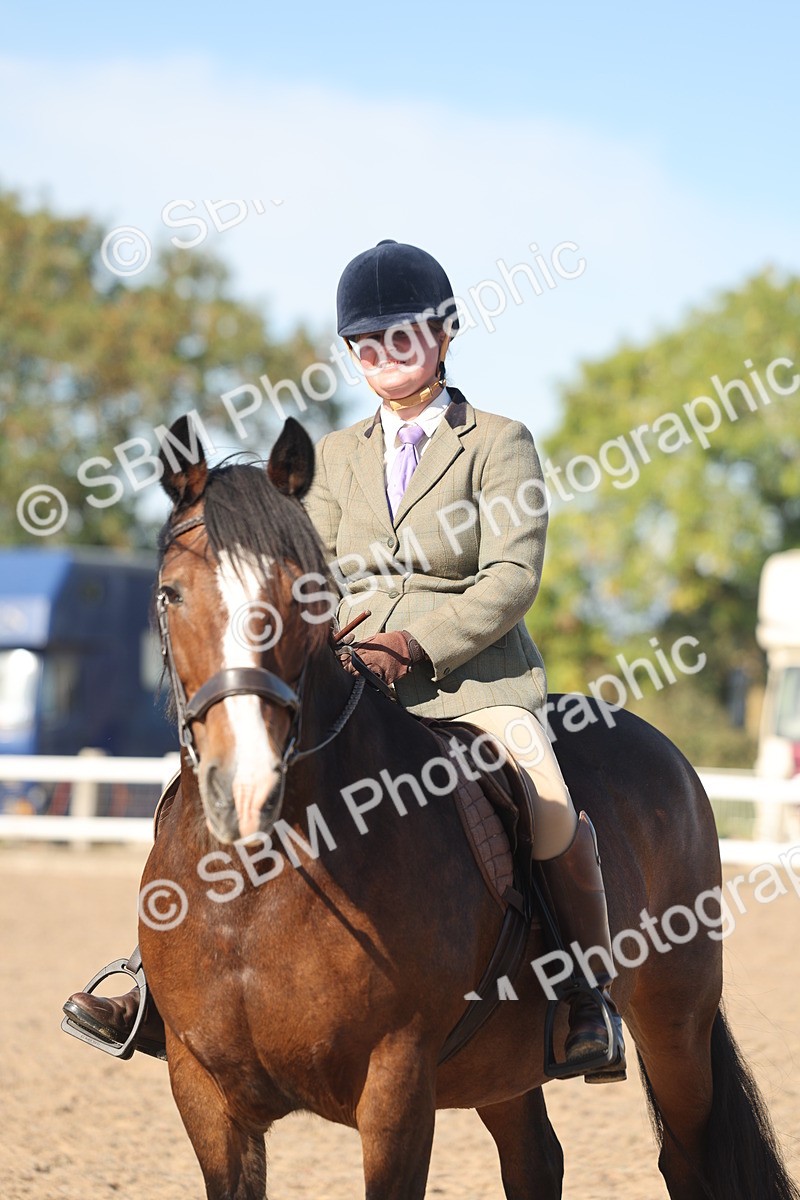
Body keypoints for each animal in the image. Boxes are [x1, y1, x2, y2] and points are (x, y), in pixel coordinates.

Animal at [137, 415, 798, 1200]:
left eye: (305, 593)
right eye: (171, 595)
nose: (243, 783)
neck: (257, 888)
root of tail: (661, 746)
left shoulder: (397, 1084)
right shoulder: (203, 1092)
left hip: (677, 1021)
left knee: (688, 1156)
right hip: (503, 1065)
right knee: (536, 1158)